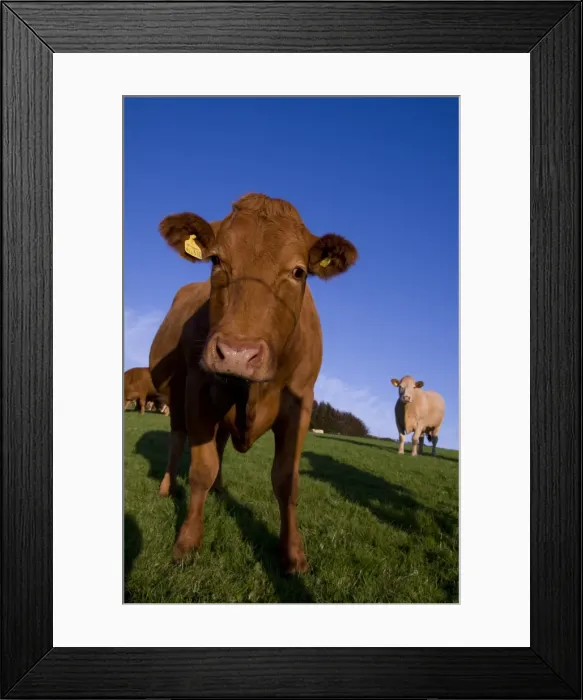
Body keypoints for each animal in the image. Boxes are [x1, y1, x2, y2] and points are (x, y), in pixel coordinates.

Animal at [149, 193, 357, 574]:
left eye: (298, 271)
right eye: (216, 260)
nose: (236, 354)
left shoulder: (300, 403)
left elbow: (287, 481)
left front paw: (293, 554)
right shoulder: (197, 391)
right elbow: (200, 469)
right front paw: (187, 540)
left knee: (218, 446)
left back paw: (219, 490)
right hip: (175, 397)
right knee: (177, 442)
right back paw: (167, 487)